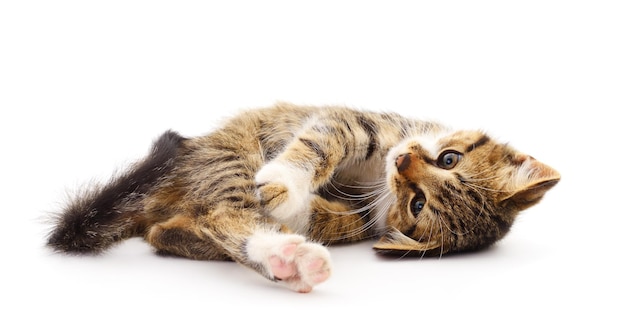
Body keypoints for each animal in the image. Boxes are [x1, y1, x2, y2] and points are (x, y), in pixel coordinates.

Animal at [46, 103, 560, 294]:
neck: (376, 177)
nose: (402, 163)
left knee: (210, 218)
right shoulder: (356, 122)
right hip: (232, 155)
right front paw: (285, 182)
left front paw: (295, 208)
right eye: (449, 158)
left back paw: (287, 259)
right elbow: (321, 140)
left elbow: (334, 218)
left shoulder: (363, 216)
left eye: (417, 205)